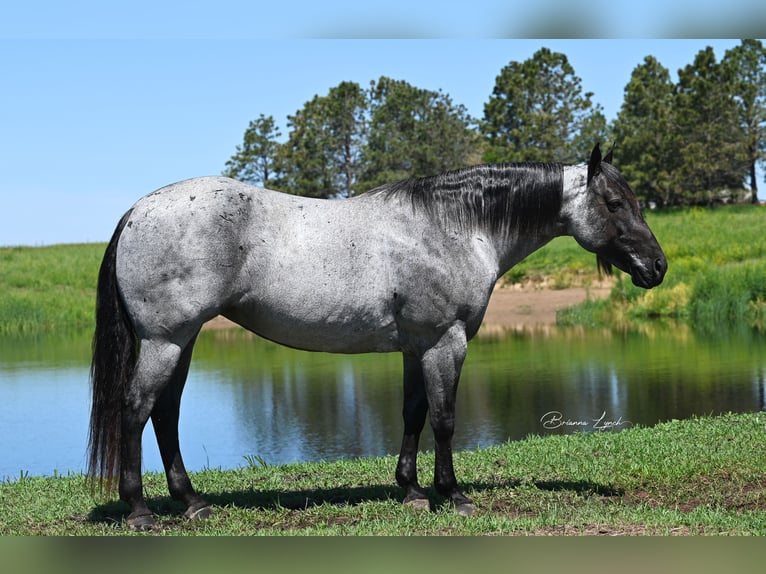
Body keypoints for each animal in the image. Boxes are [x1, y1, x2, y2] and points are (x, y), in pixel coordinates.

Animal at [88, 144, 664, 532]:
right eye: (614, 203)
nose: (656, 267)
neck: (453, 227)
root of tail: (137, 210)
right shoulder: (446, 342)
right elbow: (445, 419)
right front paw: (453, 496)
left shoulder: (416, 347)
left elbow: (413, 414)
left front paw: (411, 490)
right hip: (165, 341)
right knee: (136, 409)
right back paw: (139, 510)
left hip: (182, 342)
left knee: (165, 414)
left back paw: (193, 502)